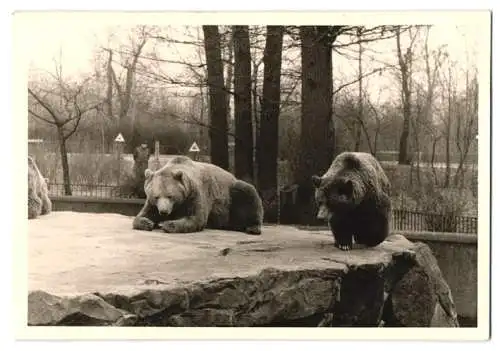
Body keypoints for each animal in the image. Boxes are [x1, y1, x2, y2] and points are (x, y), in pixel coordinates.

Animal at [133, 157, 266, 236]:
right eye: (156, 197)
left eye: (170, 196)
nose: (164, 211)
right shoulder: (152, 204)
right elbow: (143, 214)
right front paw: (147, 223)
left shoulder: (195, 193)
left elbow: (196, 217)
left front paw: (167, 224)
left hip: (231, 194)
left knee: (248, 192)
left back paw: (253, 228)